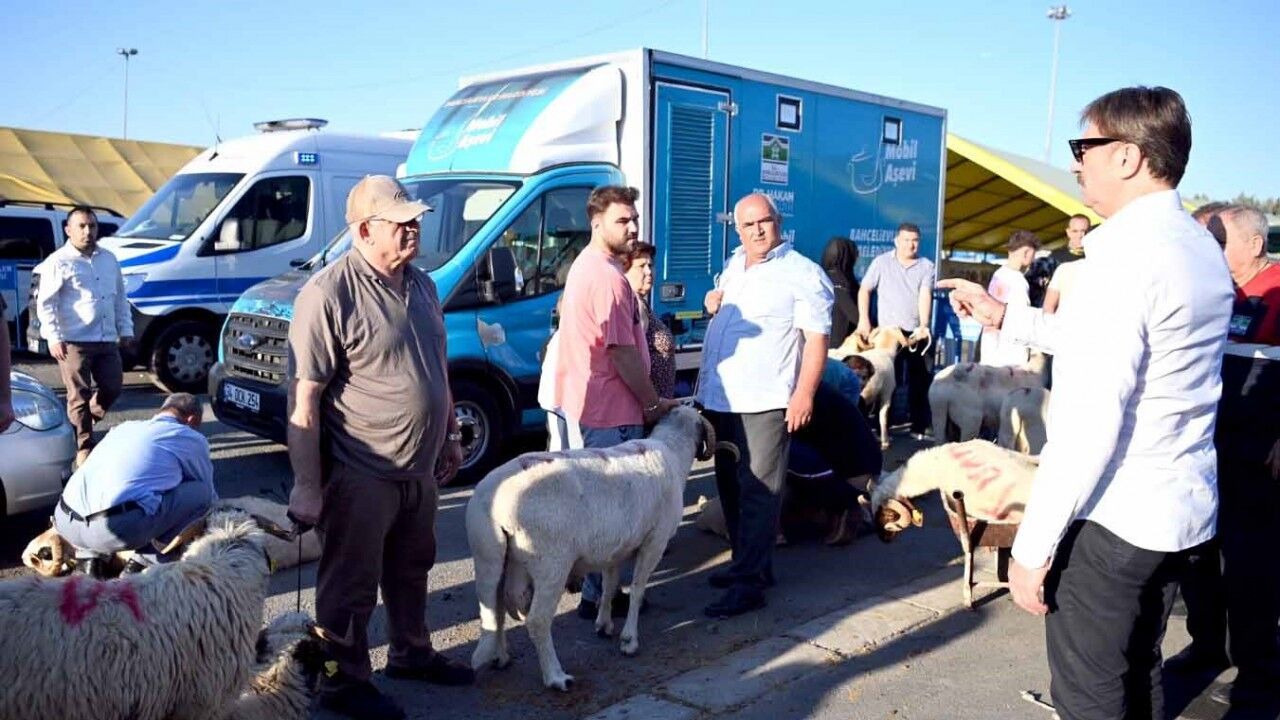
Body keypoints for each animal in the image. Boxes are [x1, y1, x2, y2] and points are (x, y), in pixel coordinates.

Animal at [466, 405, 729, 691]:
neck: (673, 450)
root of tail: (493, 502)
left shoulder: (614, 548)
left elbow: (610, 585)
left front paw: (604, 625)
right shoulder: (655, 542)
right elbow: (637, 589)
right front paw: (629, 641)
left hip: (491, 557)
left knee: (496, 607)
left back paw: (500, 657)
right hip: (550, 564)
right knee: (537, 620)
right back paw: (556, 677)